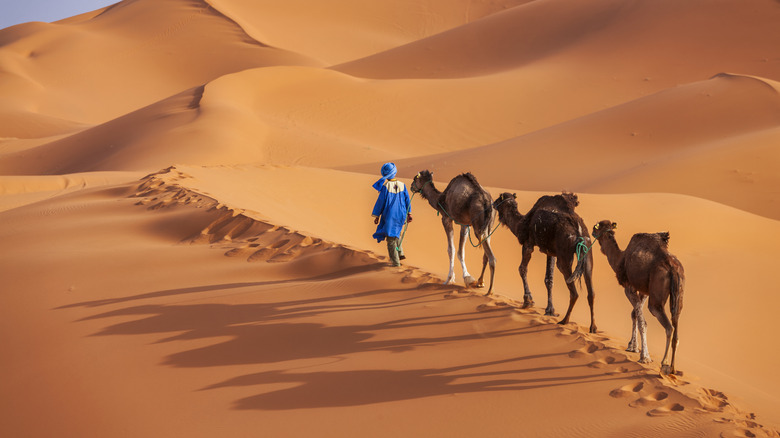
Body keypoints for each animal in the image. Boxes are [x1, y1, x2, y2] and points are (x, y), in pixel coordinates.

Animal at [494, 192, 596, 332]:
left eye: (499, 198)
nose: (493, 203)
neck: (521, 223)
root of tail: (579, 232)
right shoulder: (551, 252)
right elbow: (549, 279)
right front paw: (550, 310)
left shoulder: (528, 243)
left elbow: (522, 269)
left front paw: (528, 301)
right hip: (588, 251)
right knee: (591, 291)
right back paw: (593, 328)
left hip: (564, 256)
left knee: (574, 292)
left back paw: (564, 321)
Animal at [596, 221, 684, 374]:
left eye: (598, 226)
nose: (591, 231)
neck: (620, 259)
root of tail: (673, 268)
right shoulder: (644, 290)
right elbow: (635, 315)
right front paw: (633, 346)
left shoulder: (629, 287)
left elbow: (640, 320)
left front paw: (644, 356)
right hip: (679, 293)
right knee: (676, 322)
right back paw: (672, 369)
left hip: (656, 298)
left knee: (668, 326)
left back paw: (664, 363)